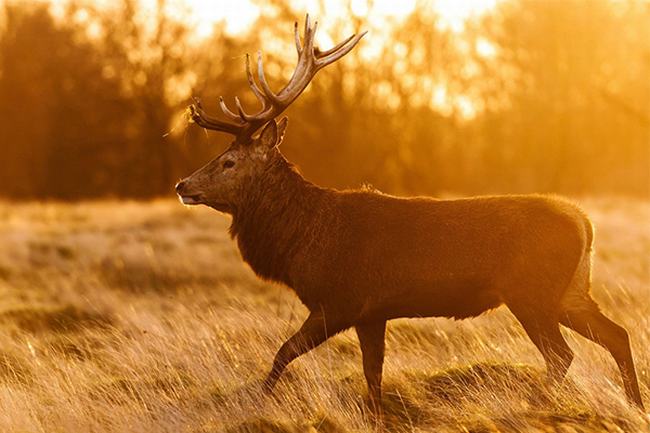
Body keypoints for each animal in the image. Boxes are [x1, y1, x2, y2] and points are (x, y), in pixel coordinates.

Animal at [173, 14, 644, 412]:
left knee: (563, 354)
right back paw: (634, 405)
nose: (182, 186)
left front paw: (259, 402)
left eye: (229, 161)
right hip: (571, 291)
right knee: (617, 335)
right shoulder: (372, 312)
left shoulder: (340, 300)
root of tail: (584, 222)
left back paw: (537, 403)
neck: (303, 239)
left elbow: (283, 353)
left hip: (532, 292)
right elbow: (372, 376)